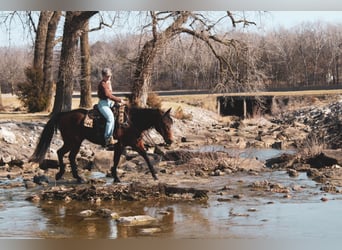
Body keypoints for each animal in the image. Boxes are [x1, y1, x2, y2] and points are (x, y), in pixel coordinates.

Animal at [28, 104, 174, 183]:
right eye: (164, 124)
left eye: (171, 123)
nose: (170, 141)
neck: (131, 121)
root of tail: (63, 114)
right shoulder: (124, 144)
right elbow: (119, 159)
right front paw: (116, 177)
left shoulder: (134, 143)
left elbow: (144, 156)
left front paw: (154, 175)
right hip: (72, 141)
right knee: (62, 153)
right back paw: (63, 174)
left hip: (76, 141)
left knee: (69, 156)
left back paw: (77, 177)